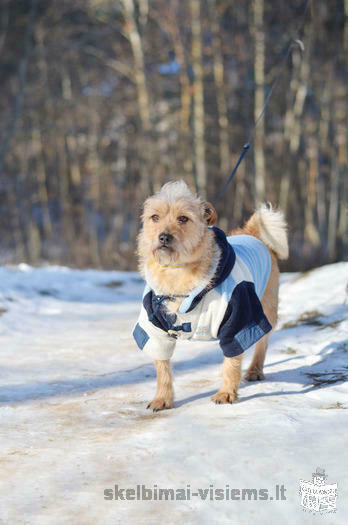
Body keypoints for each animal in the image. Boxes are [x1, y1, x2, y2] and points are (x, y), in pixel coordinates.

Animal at [133, 180, 288, 410]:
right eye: (155, 217)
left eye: (183, 218)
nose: (163, 236)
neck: (177, 273)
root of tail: (252, 233)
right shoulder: (154, 329)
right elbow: (162, 368)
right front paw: (162, 398)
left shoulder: (239, 320)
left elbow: (234, 359)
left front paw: (227, 392)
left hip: (266, 309)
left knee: (261, 343)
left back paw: (254, 370)